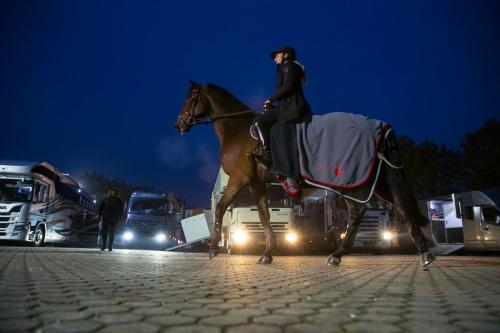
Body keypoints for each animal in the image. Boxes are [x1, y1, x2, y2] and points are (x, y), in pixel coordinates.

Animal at [174, 80, 436, 268]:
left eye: (188, 98)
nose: (178, 125)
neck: (238, 131)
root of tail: (380, 127)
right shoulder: (256, 183)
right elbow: (264, 215)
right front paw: (267, 253)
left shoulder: (240, 179)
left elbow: (221, 208)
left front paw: (213, 249)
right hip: (379, 181)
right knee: (401, 205)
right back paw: (424, 252)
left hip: (352, 182)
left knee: (358, 211)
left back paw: (338, 255)